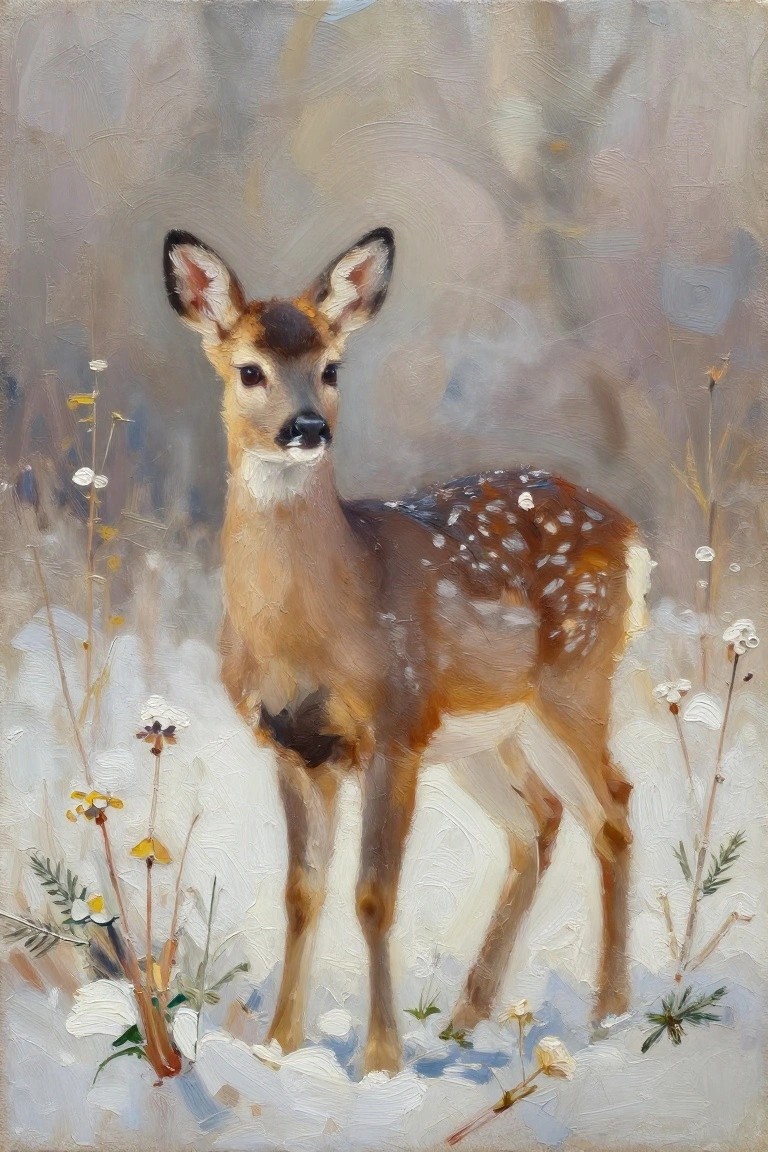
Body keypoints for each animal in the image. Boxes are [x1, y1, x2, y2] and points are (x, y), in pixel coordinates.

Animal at [163, 226, 650, 1076]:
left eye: (331, 366)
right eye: (249, 369)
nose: (307, 428)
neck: (315, 627)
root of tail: (630, 537)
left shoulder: (393, 726)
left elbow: (373, 895)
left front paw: (381, 1059)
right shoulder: (296, 744)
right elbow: (303, 893)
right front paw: (280, 1046)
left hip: (574, 680)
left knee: (613, 811)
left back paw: (610, 1014)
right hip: (485, 735)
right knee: (541, 819)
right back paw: (467, 1014)